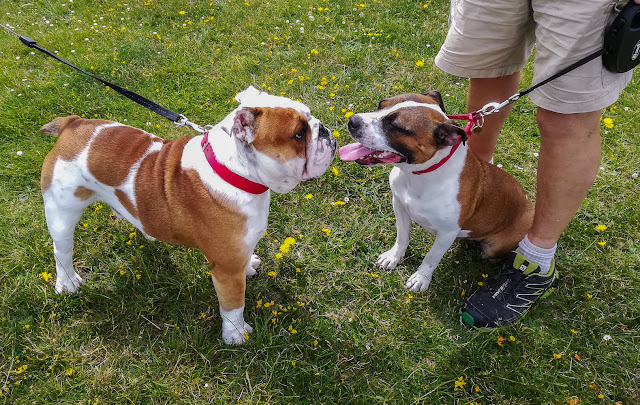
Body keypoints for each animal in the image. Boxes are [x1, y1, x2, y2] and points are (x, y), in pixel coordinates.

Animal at [40, 86, 338, 344]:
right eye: (299, 134)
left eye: (311, 119)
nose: (324, 129)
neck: (235, 173)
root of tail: (71, 124)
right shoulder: (226, 269)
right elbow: (233, 305)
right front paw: (235, 334)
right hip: (62, 213)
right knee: (62, 250)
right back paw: (67, 283)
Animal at [340, 92, 536, 290]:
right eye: (381, 105)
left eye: (394, 126)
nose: (353, 120)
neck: (421, 175)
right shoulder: (400, 206)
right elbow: (402, 237)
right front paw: (393, 256)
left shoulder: (446, 233)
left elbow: (431, 257)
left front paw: (421, 277)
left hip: (496, 245)